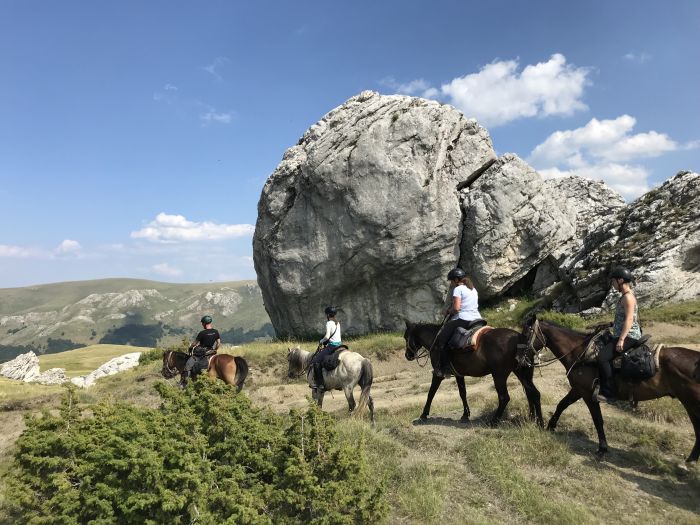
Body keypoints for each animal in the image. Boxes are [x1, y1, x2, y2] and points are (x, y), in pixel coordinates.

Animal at [524, 316, 700, 458]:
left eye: (526, 334)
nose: (521, 357)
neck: (581, 354)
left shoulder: (588, 393)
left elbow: (597, 419)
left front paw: (602, 448)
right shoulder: (578, 390)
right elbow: (562, 405)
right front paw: (550, 426)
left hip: (691, 402)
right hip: (689, 402)